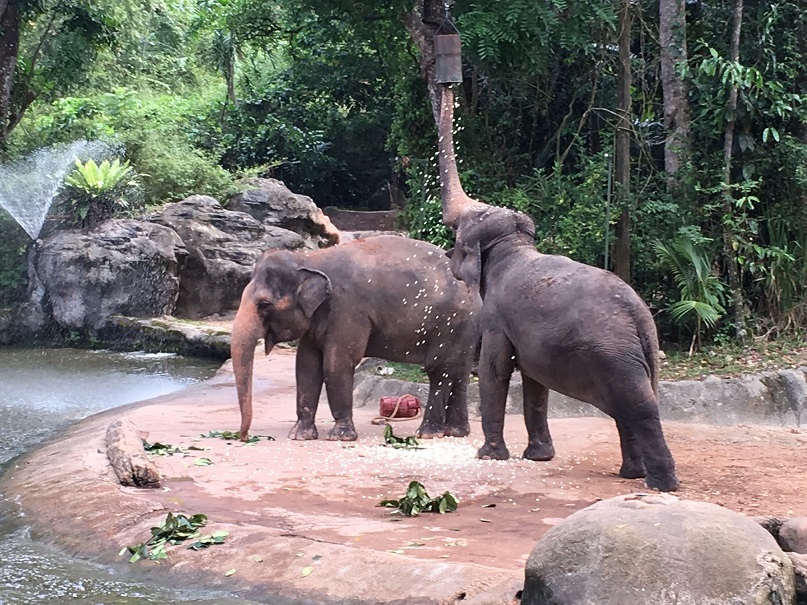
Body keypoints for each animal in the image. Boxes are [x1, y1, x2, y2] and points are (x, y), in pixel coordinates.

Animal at [231, 235, 480, 443]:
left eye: (264, 304)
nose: (244, 437)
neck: (311, 259)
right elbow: (306, 366)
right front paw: (300, 436)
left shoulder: (348, 310)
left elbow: (336, 364)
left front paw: (340, 437)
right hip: (465, 329)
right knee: (460, 373)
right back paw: (456, 432)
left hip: (449, 324)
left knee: (439, 371)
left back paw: (427, 433)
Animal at [433, 83, 678, 492]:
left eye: (458, 231)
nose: (447, 83)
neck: (513, 245)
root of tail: (640, 316)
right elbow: (534, 380)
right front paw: (539, 457)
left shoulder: (496, 318)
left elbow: (495, 370)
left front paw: (489, 456)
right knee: (636, 405)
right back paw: (632, 473)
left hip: (615, 356)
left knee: (639, 407)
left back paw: (659, 484)